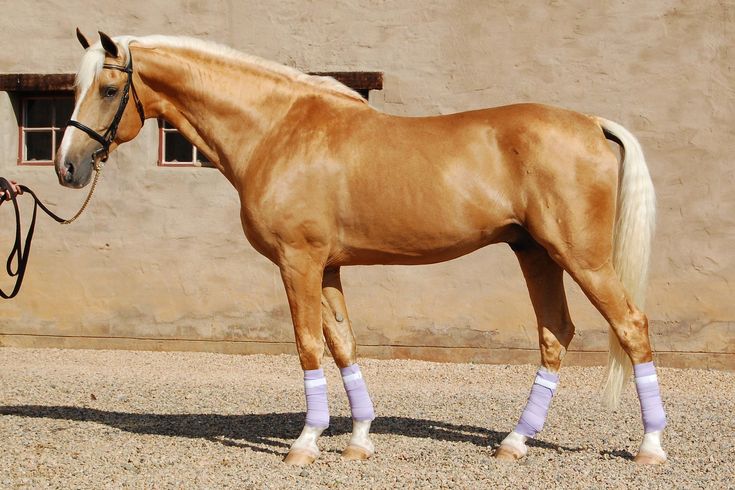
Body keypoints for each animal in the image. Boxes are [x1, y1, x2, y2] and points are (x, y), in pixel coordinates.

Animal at [57, 31, 668, 468]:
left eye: (108, 90)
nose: (68, 167)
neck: (276, 130)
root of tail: (592, 124)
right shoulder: (327, 267)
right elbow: (344, 344)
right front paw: (358, 440)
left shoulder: (298, 261)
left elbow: (308, 346)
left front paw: (305, 444)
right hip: (535, 253)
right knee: (555, 335)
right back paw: (514, 442)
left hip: (580, 258)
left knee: (631, 326)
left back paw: (650, 448)